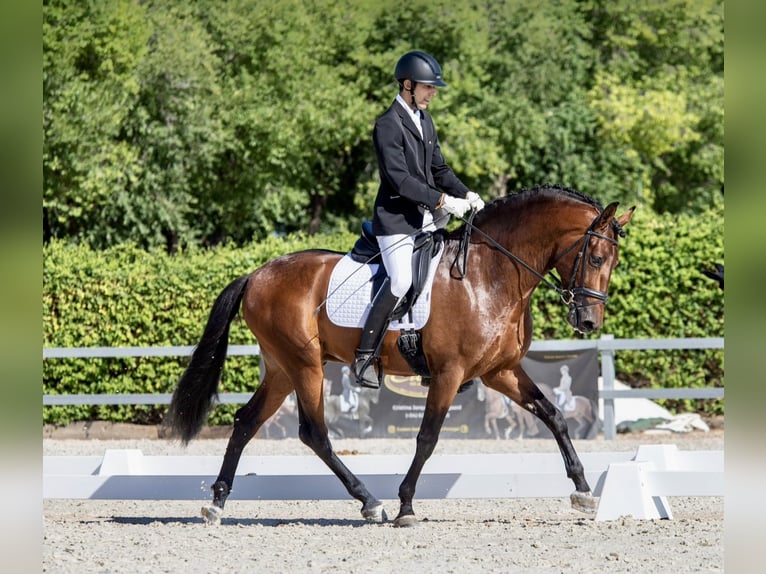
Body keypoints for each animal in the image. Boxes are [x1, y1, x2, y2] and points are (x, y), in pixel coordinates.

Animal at [166, 187, 636, 528]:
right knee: (314, 433)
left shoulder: (500, 371)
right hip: (305, 366)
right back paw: (371, 503)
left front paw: (583, 491)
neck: (490, 275)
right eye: (596, 257)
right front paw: (407, 505)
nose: (588, 321)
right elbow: (427, 438)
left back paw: (217, 503)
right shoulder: (449, 373)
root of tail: (257, 273)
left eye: (612, 262)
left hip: (282, 369)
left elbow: (554, 416)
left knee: (247, 422)